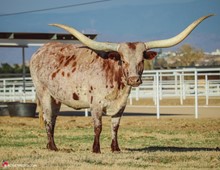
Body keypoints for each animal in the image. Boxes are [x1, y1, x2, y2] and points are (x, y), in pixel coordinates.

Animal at [29, 14, 213, 153]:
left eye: (141, 60)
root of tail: (40, 50)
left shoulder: (121, 105)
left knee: (53, 119)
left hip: (56, 97)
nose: (134, 80)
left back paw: (50, 145)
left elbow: (115, 126)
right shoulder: (95, 105)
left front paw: (115, 148)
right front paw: (96, 149)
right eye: (123, 60)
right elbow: (98, 126)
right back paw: (53, 147)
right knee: (47, 118)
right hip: (43, 93)